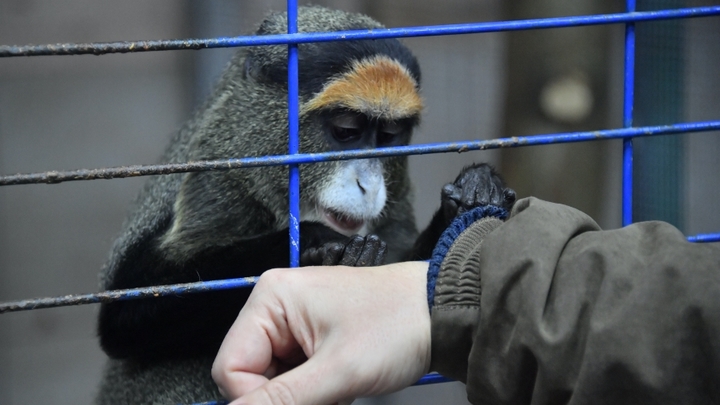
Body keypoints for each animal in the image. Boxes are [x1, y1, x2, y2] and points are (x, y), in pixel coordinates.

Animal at [93, 6, 516, 404]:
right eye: (346, 131)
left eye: (389, 135)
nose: (368, 185)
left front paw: (474, 194)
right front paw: (316, 243)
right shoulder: (217, 182)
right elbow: (126, 313)